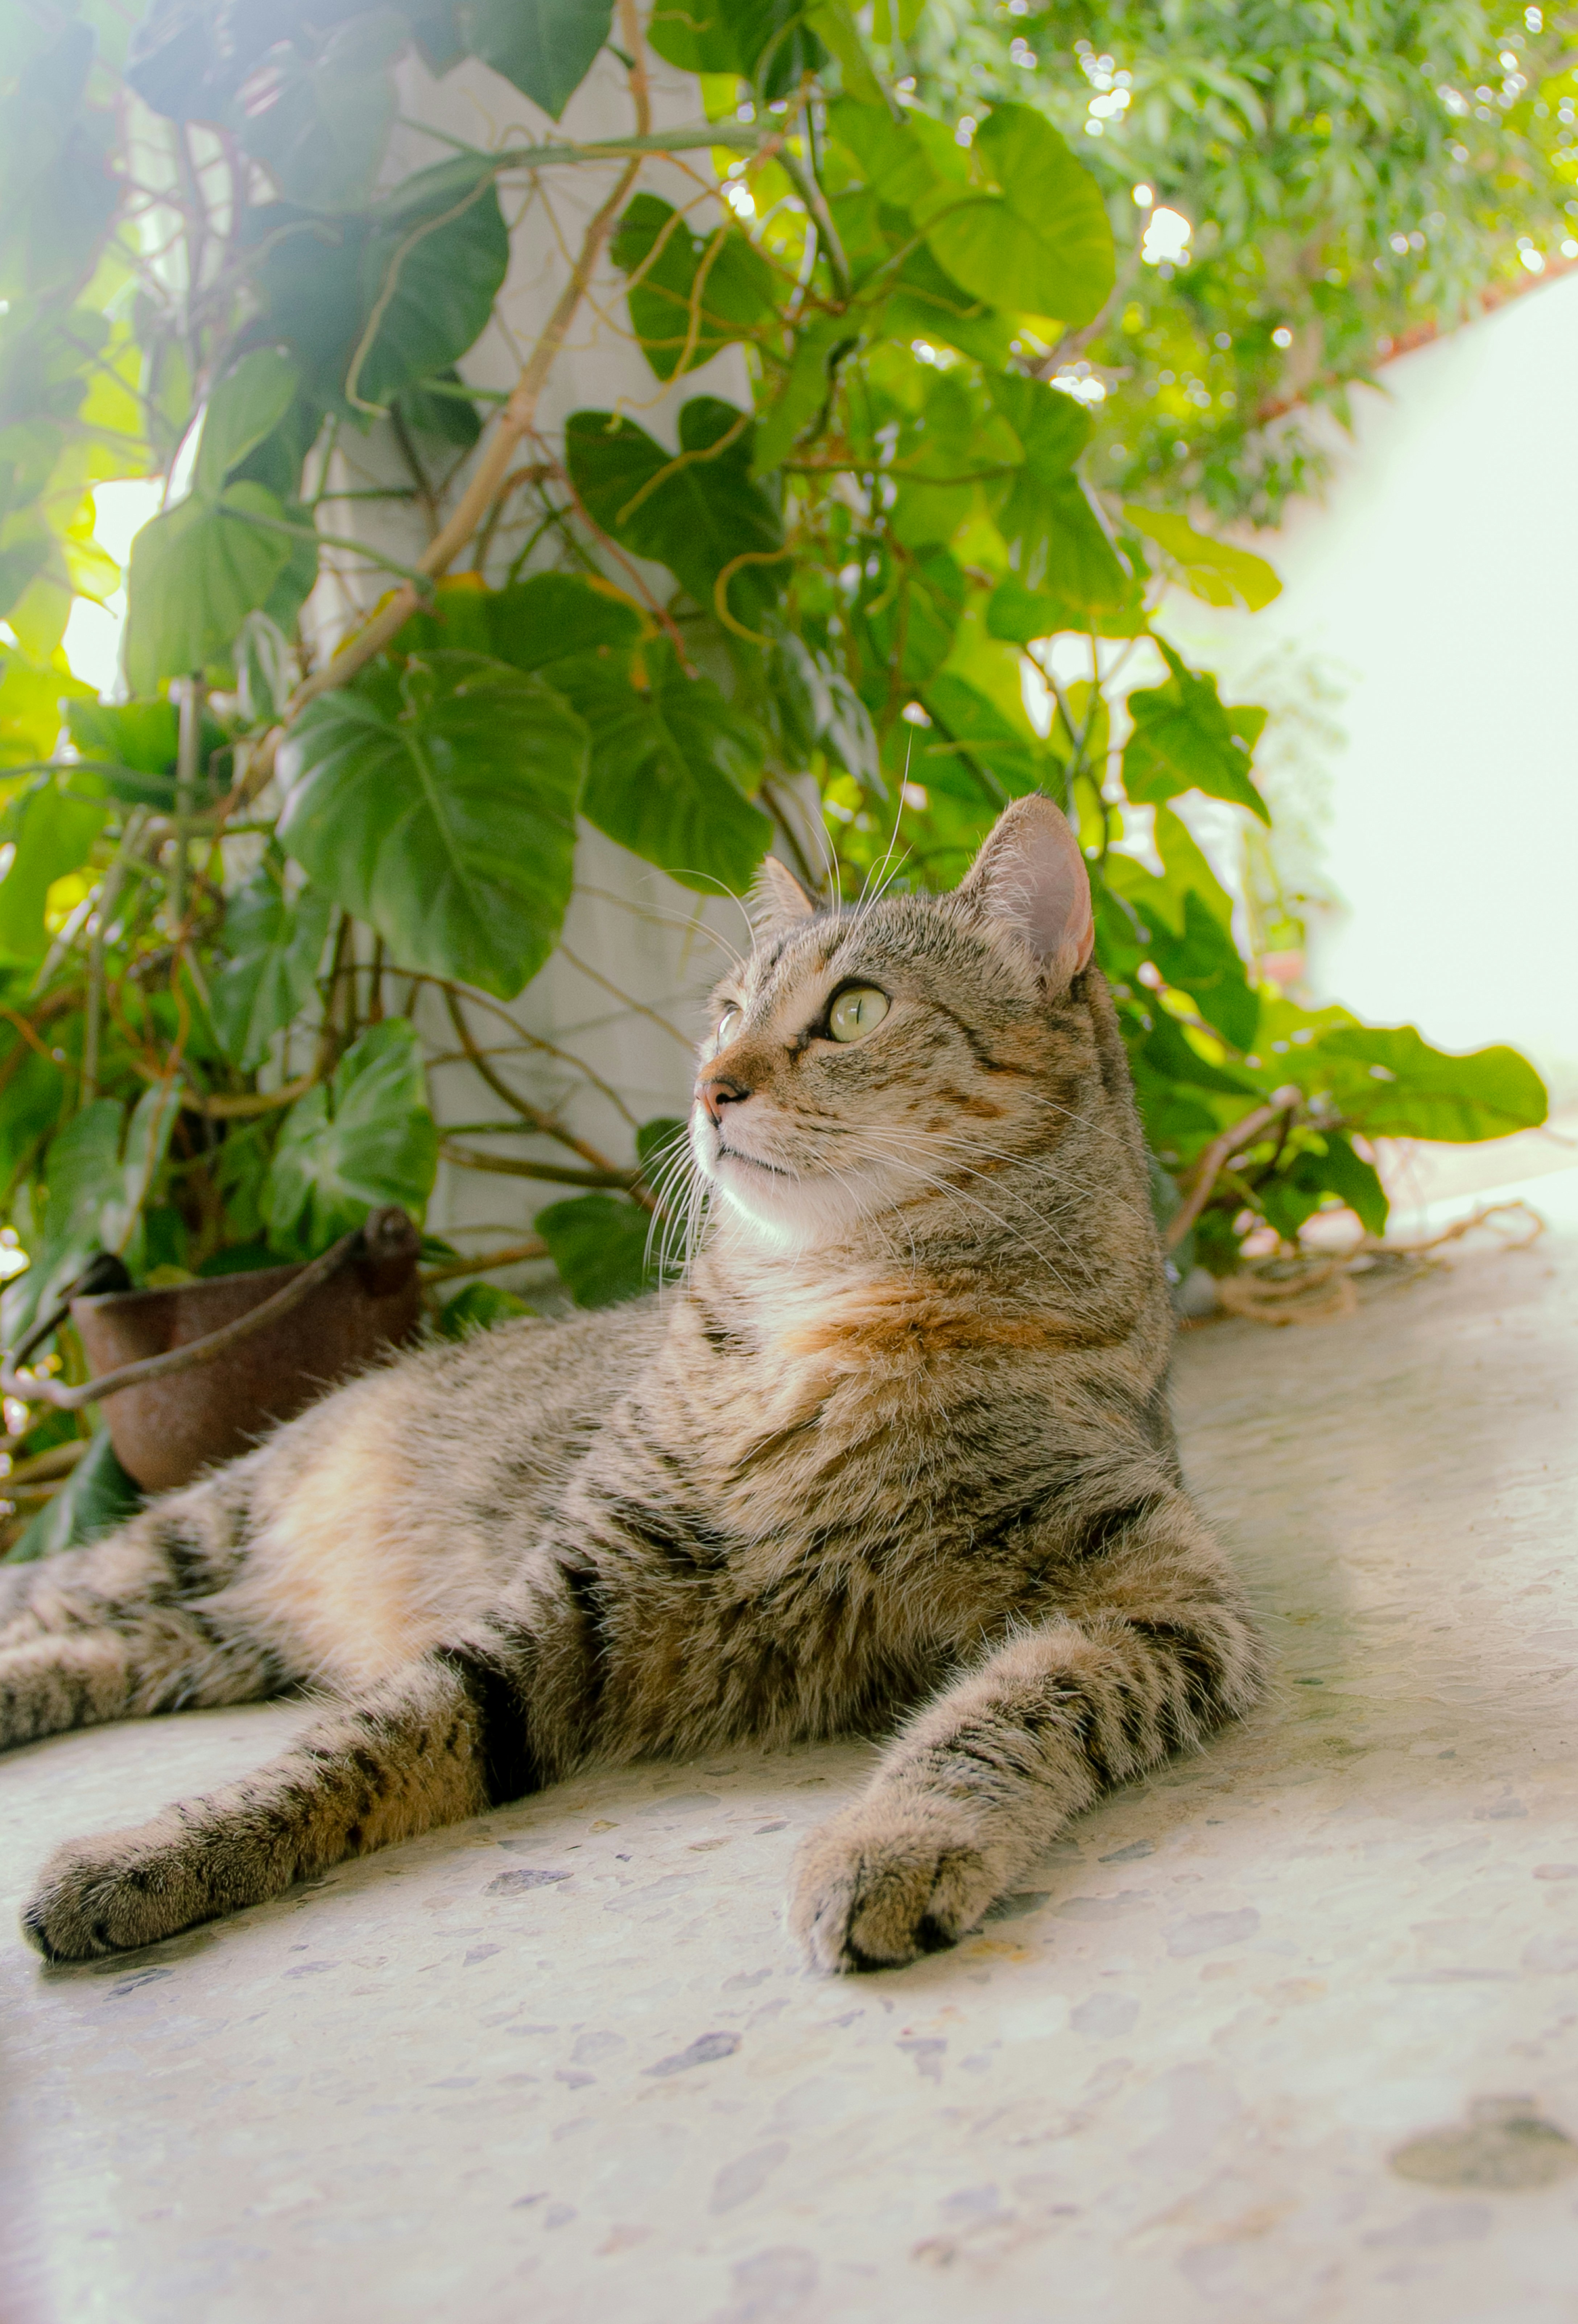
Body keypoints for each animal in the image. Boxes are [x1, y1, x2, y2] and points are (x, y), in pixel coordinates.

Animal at [0, 799, 1255, 1961]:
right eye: (727, 1014)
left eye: (855, 1010)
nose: (710, 1086)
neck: (829, 1320)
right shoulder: (567, 1591)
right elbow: (357, 1743)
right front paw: (152, 1851)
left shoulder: (1160, 1591)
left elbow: (1004, 1713)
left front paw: (892, 1837)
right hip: (190, 1541)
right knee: (56, 1605)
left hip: (206, 1639)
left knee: (95, 1652)